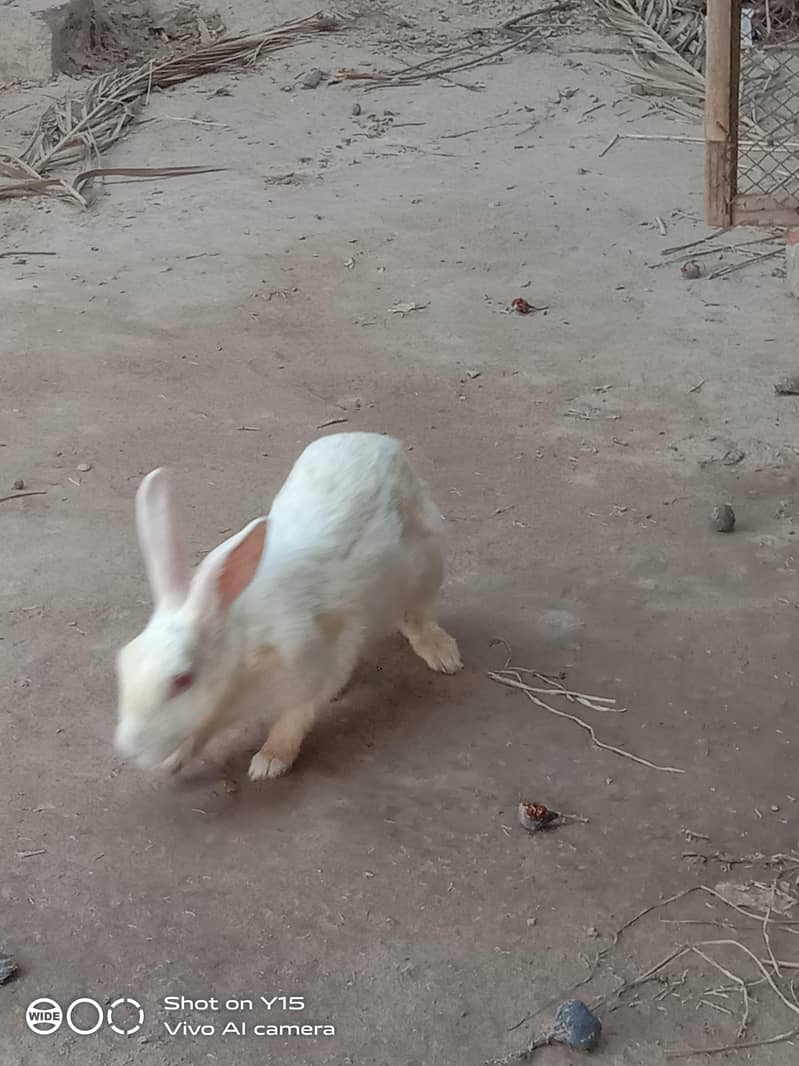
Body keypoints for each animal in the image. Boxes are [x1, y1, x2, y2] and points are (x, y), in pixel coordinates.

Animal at [114, 432, 462, 782]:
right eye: (124, 664)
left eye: (183, 680)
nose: (128, 746)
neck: (240, 652)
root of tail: (381, 441)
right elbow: (200, 733)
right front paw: (173, 762)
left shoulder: (315, 666)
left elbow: (295, 718)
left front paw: (269, 762)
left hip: (426, 562)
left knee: (417, 614)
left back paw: (443, 656)